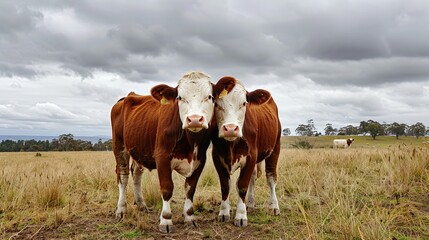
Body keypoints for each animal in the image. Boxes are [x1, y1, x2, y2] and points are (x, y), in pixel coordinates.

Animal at [110, 71, 216, 232]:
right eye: (179, 97)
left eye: (209, 97)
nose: (194, 119)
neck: (190, 141)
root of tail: (127, 97)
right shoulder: (162, 157)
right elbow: (167, 188)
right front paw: (166, 220)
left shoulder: (200, 159)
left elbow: (190, 189)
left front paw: (189, 217)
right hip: (119, 145)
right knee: (123, 175)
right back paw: (121, 210)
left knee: (136, 173)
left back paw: (141, 204)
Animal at [210, 76, 280, 227]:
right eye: (216, 104)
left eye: (243, 103)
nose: (230, 129)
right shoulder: (217, 156)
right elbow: (226, 186)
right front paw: (224, 212)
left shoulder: (251, 156)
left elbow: (242, 186)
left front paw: (241, 216)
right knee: (253, 178)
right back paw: (251, 204)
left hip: (275, 148)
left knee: (271, 178)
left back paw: (274, 206)